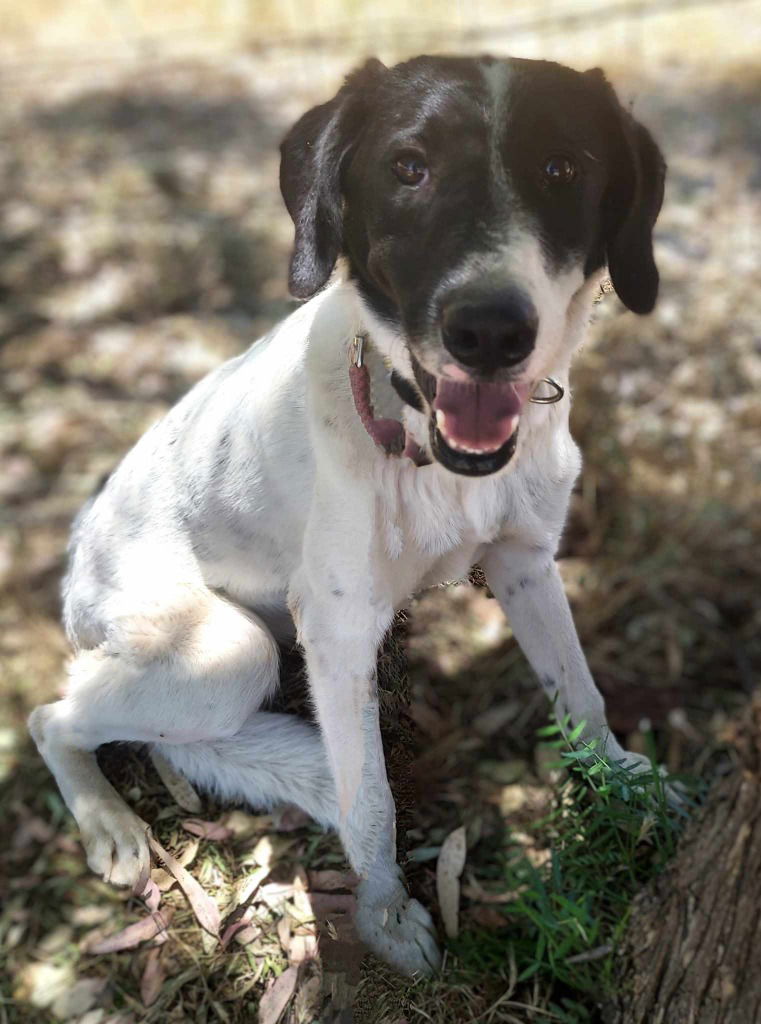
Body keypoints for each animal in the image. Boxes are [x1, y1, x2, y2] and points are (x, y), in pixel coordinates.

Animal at [26, 56, 663, 974]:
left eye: (562, 169)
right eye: (408, 168)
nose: (489, 331)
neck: (421, 441)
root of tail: (78, 551)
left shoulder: (524, 562)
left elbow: (580, 693)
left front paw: (623, 787)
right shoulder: (337, 631)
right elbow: (372, 801)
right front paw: (385, 914)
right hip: (224, 651)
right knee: (52, 717)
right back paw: (107, 821)